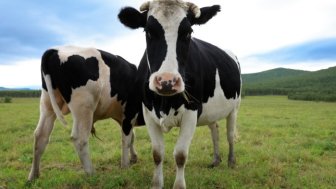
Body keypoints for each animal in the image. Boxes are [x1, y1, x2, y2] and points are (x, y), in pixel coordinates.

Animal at [27, 45, 143, 182]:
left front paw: (133, 158)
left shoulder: (124, 118)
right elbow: (126, 140)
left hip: (47, 104)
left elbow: (132, 137)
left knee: (40, 136)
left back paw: (33, 176)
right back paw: (91, 173)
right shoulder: (129, 113)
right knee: (79, 139)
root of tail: (55, 50)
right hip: (84, 108)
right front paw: (125, 166)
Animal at [119, 0, 242, 188]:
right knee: (215, 132)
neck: (164, 102)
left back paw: (231, 161)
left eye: (188, 33)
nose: (167, 81)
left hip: (234, 108)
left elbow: (180, 155)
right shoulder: (147, 112)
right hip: (210, 111)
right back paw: (215, 160)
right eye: (148, 32)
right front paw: (157, 183)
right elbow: (157, 153)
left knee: (230, 135)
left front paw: (179, 185)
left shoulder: (192, 111)